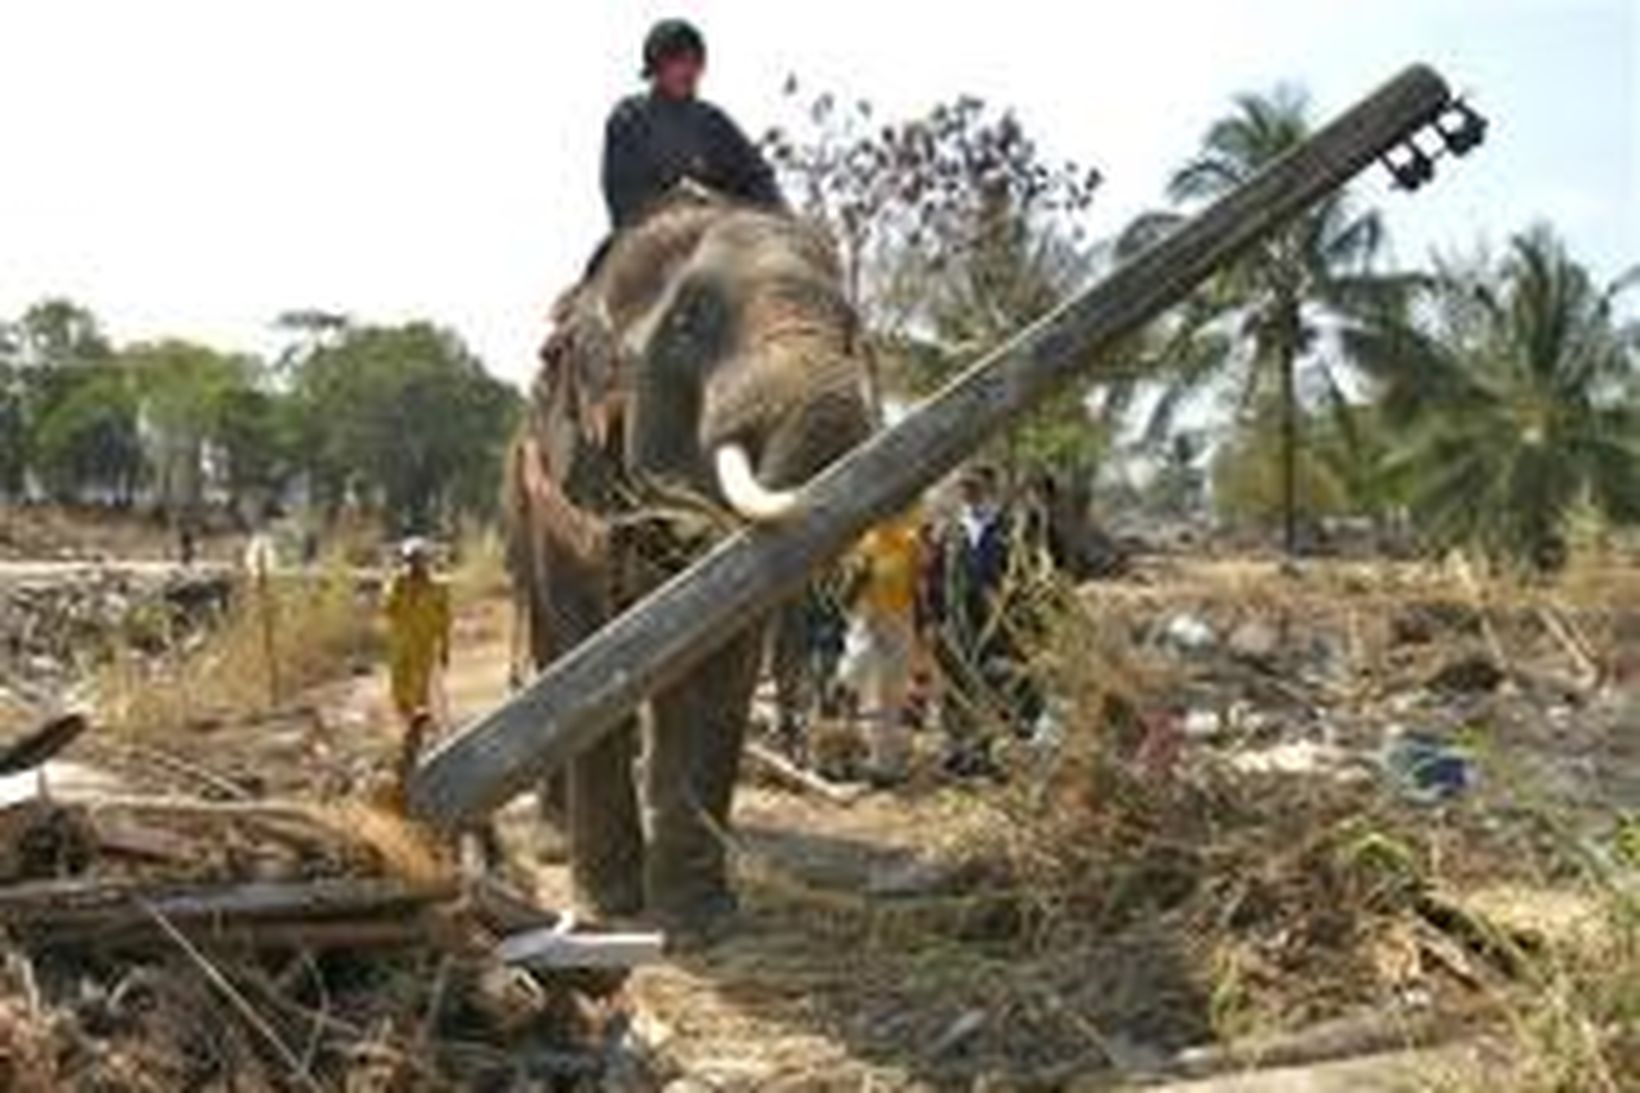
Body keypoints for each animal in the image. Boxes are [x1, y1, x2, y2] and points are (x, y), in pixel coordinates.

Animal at [505, 185, 879, 925]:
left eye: (852, 326)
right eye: (689, 321)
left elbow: (720, 658)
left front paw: (702, 922)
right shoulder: (573, 483)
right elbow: (589, 653)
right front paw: (611, 912)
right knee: (549, 649)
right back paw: (557, 845)